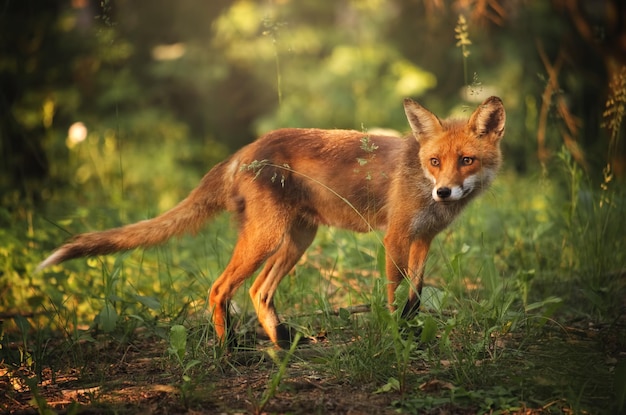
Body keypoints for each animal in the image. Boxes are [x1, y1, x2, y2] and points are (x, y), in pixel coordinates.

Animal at [37, 97, 502, 352]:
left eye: (467, 160)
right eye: (435, 161)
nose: (444, 192)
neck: (420, 184)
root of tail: (244, 150)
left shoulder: (424, 239)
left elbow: (416, 296)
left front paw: (411, 333)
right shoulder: (395, 237)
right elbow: (392, 296)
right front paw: (394, 339)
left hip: (298, 239)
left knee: (259, 291)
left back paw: (280, 344)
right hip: (268, 238)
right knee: (220, 288)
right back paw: (226, 350)